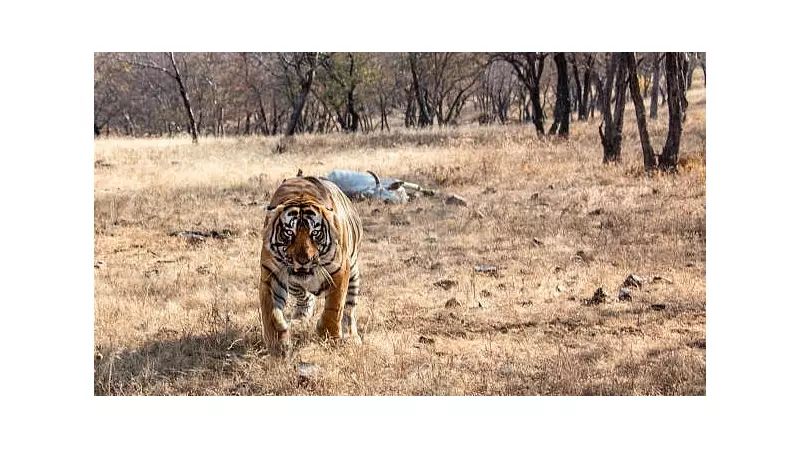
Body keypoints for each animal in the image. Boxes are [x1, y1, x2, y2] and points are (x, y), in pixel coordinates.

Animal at [259, 175, 363, 355]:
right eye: (289, 233)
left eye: (315, 233)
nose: (303, 260)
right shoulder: (271, 273)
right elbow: (271, 312)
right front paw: (277, 344)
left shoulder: (340, 271)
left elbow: (334, 307)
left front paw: (328, 336)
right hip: (294, 283)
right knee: (305, 298)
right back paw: (299, 320)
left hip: (353, 274)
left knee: (349, 308)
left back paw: (352, 337)